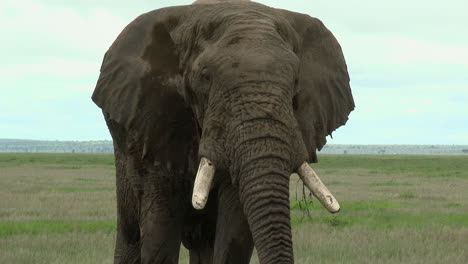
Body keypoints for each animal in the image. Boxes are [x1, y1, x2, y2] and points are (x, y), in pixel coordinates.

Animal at [92, 0, 354, 264]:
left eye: (296, 81)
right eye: (205, 77)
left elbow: (234, 231)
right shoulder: (156, 122)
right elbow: (159, 232)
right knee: (130, 234)